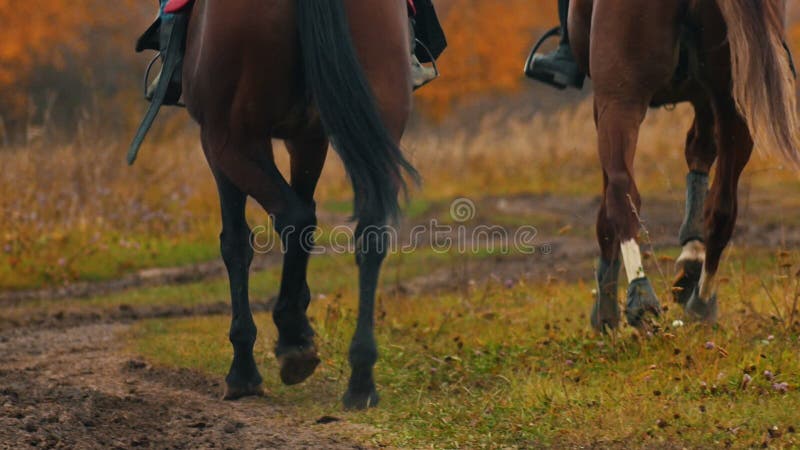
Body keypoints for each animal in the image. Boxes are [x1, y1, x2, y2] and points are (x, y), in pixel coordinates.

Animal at [182, 0, 418, 408]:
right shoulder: (307, 137)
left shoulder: (215, 142)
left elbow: (236, 243)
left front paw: (243, 371)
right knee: (368, 234)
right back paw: (360, 379)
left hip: (233, 137)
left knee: (295, 217)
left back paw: (292, 339)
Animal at [564, 0, 796, 330]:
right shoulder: (706, 97)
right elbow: (700, 151)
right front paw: (690, 260)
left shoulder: (603, 102)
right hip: (734, 102)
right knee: (723, 206)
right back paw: (699, 302)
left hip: (620, 98)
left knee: (621, 191)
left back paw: (637, 300)